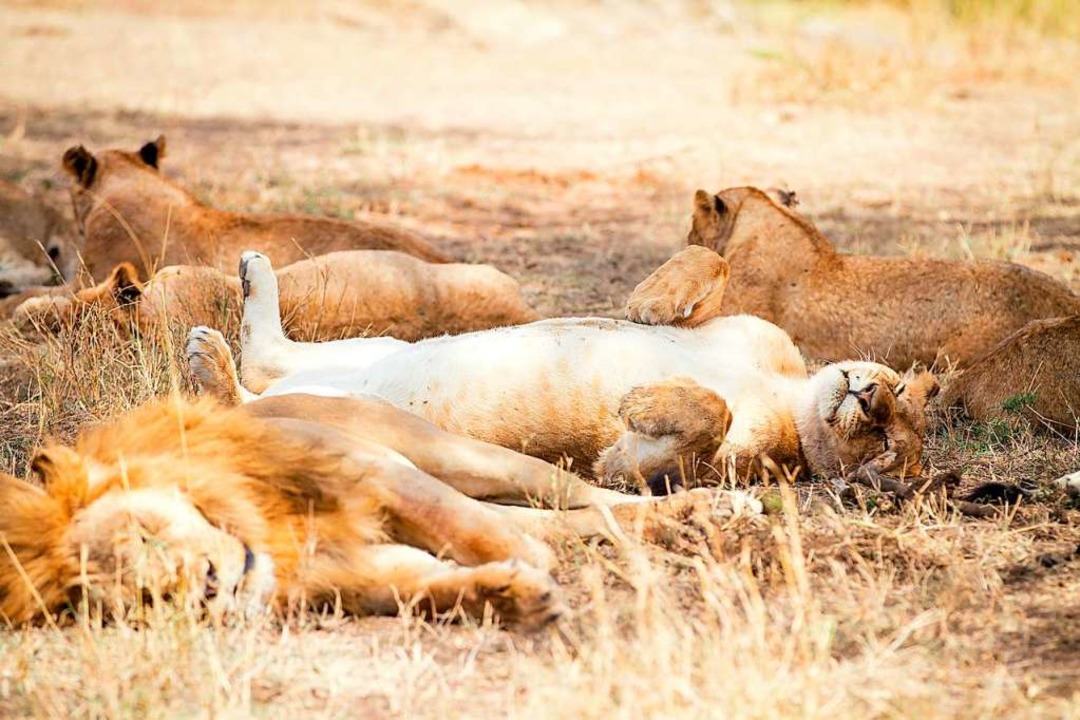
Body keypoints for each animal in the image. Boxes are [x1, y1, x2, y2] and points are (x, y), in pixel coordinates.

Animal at [200, 248, 937, 490]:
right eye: (897, 394)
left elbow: (698, 420)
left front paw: (641, 402)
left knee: (244, 404)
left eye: (885, 446)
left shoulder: (699, 472)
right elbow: (712, 260)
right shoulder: (750, 330)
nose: (867, 396)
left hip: (345, 407)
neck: (787, 392)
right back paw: (245, 287)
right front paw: (649, 302)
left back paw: (209, 370)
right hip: (365, 349)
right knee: (266, 358)